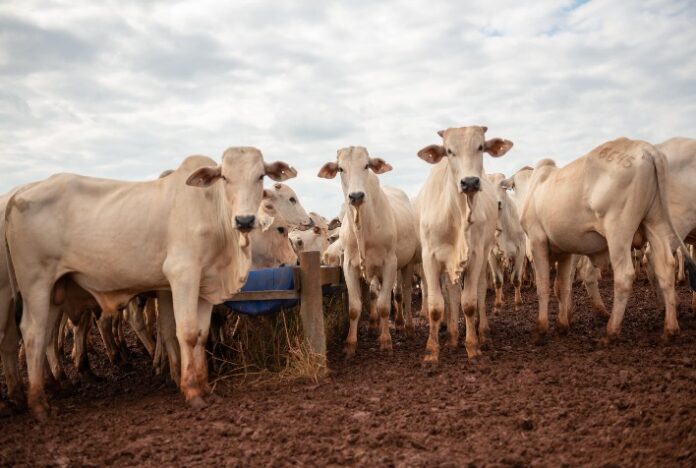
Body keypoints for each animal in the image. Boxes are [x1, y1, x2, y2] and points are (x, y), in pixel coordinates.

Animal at [4, 148, 294, 414]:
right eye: (225, 177)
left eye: (260, 176)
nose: (244, 220)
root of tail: (18, 194)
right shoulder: (182, 275)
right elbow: (186, 333)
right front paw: (191, 391)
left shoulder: (205, 284)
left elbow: (201, 336)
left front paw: (205, 388)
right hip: (36, 284)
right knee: (31, 333)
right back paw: (39, 404)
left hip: (56, 290)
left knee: (44, 335)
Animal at [316, 148, 418, 356]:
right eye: (340, 168)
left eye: (366, 165)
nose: (355, 196)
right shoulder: (349, 266)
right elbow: (356, 307)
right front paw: (350, 344)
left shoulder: (390, 264)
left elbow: (384, 305)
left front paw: (386, 341)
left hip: (407, 263)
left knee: (404, 293)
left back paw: (406, 326)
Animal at [416, 125, 512, 362]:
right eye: (449, 151)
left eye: (481, 147)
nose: (469, 182)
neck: (455, 215)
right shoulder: (430, 258)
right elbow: (436, 305)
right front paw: (431, 351)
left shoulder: (476, 255)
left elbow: (469, 303)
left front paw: (473, 347)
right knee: (451, 293)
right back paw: (452, 337)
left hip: (484, 255)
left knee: (479, 290)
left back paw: (483, 333)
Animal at [520, 137, 696, 342]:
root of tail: (646, 148)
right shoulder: (565, 251)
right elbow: (562, 286)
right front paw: (562, 325)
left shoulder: (537, 240)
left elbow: (543, 286)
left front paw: (541, 328)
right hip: (656, 223)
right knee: (665, 267)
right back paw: (670, 328)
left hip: (618, 230)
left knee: (624, 275)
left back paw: (611, 330)